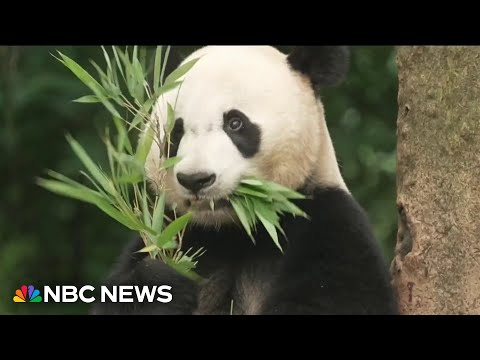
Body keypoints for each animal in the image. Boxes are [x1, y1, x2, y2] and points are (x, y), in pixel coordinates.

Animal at [90, 45, 398, 316]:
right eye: (175, 132)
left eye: (235, 123)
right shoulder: (172, 229)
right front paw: (161, 283)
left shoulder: (327, 223)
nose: (196, 179)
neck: (236, 229)